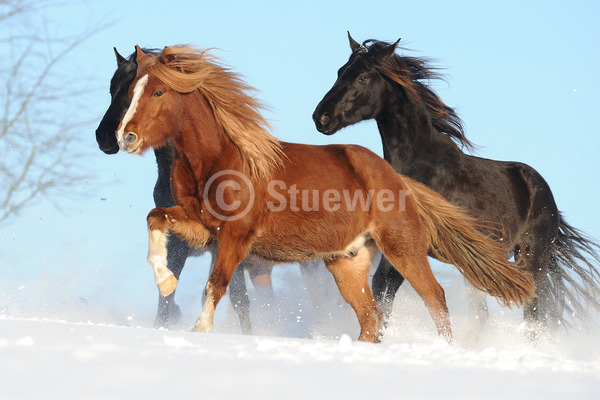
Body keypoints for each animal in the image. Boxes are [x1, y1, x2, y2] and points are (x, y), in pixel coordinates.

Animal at [116, 45, 536, 342]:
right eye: (130, 90)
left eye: (158, 92)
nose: (126, 137)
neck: (220, 157)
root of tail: (400, 180)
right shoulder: (204, 226)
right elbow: (155, 219)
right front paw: (166, 280)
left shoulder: (236, 234)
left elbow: (217, 283)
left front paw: (199, 331)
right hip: (347, 261)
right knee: (370, 318)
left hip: (403, 248)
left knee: (435, 298)